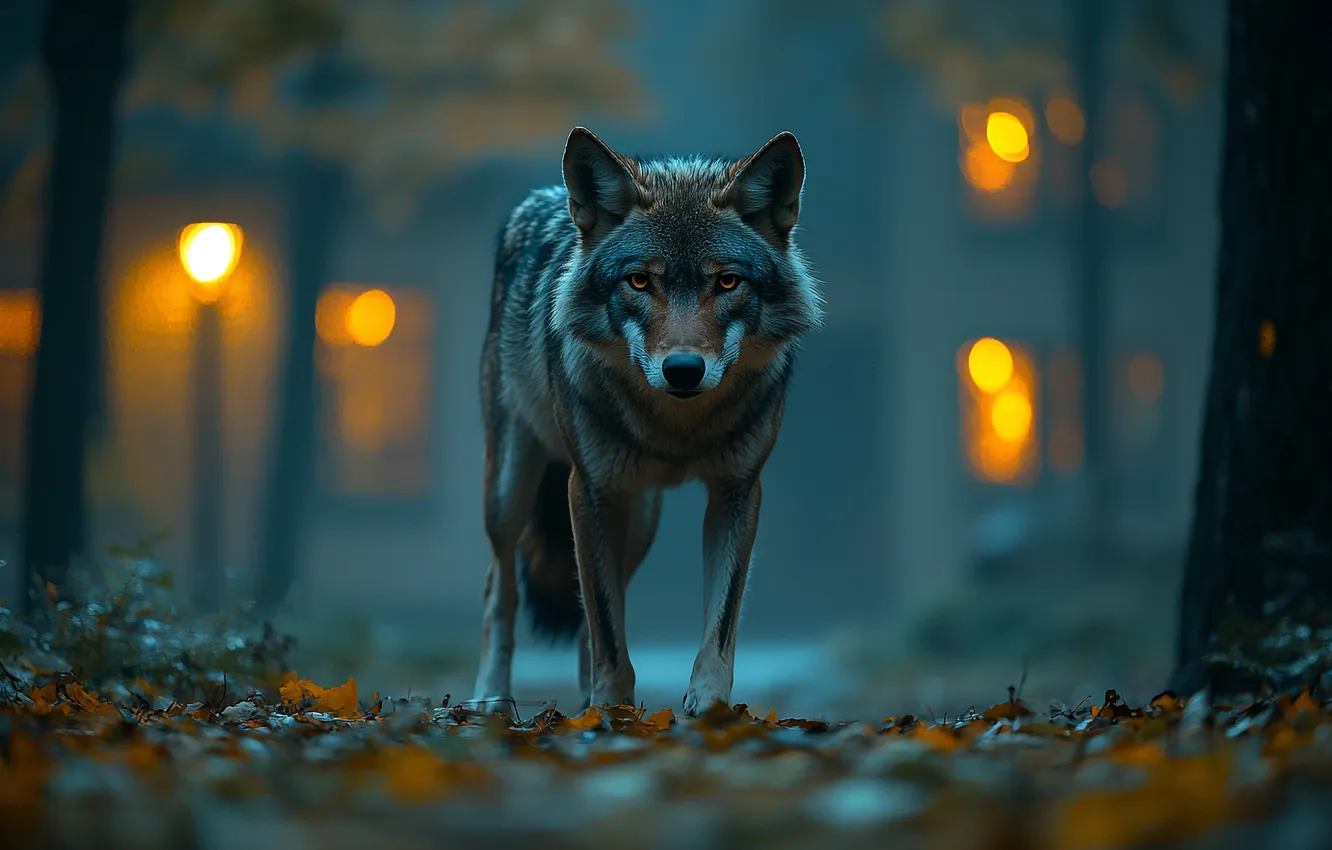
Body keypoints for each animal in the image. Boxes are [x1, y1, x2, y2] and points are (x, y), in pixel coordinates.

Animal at [471, 126, 822, 717]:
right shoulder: (587, 491)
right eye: (638, 282)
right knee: (501, 588)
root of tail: (544, 197)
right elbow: (609, 631)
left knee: (589, 616)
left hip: (640, 522)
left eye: (727, 283)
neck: (678, 429)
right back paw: (491, 700)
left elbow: (716, 623)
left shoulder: (737, 493)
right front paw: (611, 711)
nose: (682, 370)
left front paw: (708, 706)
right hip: (511, 493)